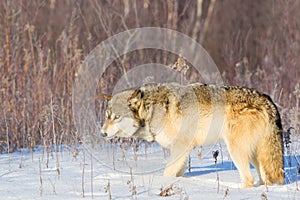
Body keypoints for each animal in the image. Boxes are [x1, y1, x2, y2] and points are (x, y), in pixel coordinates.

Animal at [101, 82, 284, 188]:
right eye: (107, 116)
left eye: (116, 117)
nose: (102, 133)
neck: (152, 110)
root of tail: (267, 100)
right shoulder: (183, 150)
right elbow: (178, 172)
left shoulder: (181, 146)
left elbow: (167, 172)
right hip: (255, 154)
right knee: (265, 178)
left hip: (237, 151)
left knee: (249, 179)